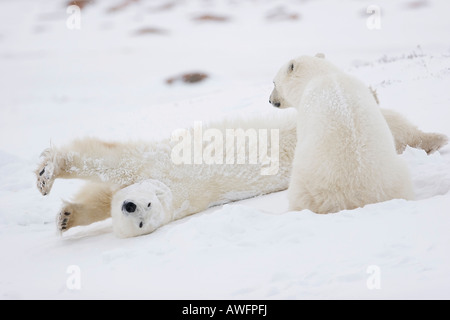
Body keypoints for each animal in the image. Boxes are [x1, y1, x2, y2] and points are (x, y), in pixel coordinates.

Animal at [268, 54, 420, 214]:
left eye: (274, 82)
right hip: (395, 179)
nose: (270, 100)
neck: (323, 75)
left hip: (307, 185)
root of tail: (353, 200)